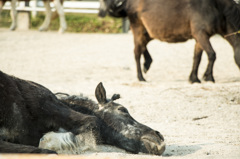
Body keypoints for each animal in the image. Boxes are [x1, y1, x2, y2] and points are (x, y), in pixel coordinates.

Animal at [98, 0, 239, 83]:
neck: (216, 7)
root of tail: (127, 3)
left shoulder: (200, 37)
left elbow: (197, 58)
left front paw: (194, 78)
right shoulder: (201, 34)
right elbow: (212, 54)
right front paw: (209, 77)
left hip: (149, 32)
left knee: (143, 47)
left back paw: (147, 64)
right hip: (138, 28)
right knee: (137, 52)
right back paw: (141, 77)